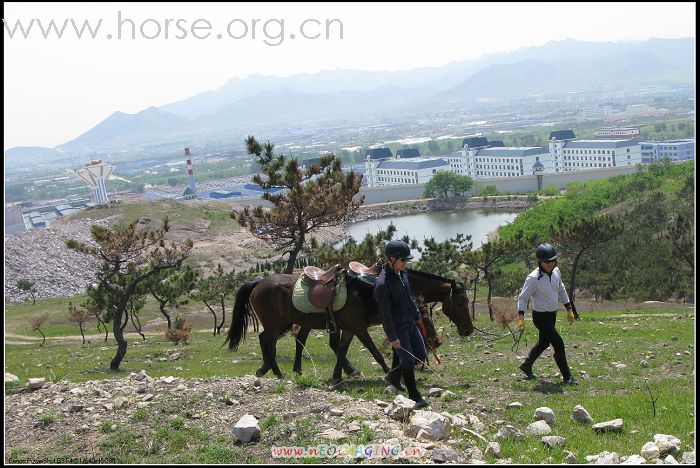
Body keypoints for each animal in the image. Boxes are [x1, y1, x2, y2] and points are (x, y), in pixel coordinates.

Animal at [227, 272, 440, 378]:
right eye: (424, 318)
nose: (437, 342)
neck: (361, 295)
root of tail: (259, 282)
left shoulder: (349, 329)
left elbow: (341, 349)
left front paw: (340, 374)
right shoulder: (359, 328)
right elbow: (374, 351)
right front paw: (388, 372)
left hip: (282, 323)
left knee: (266, 340)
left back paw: (268, 369)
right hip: (275, 324)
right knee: (268, 343)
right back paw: (277, 372)